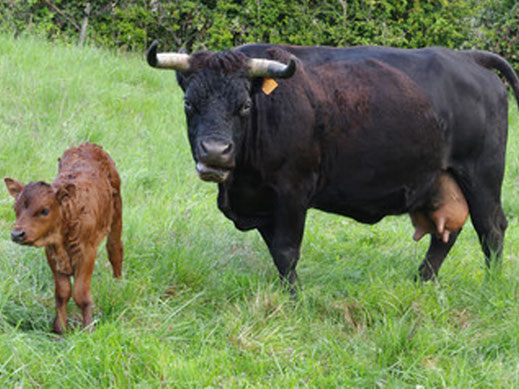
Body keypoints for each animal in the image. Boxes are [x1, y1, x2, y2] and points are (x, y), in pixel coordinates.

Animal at [4, 142, 123, 334]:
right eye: (16, 208)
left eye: (45, 210)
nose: (17, 234)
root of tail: (88, 144)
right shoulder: (52, 254)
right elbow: (62, 293)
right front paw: (59, 329)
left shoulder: (86, 253)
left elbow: (81, 294)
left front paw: (88, 328)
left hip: (117, 212)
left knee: (115, 249)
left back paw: (119, 283)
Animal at [146, 42, 519, 290]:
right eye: (189, 103)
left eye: (244, 106)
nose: (215, 152)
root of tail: (467, 57)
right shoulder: (263, 202)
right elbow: (275, 251)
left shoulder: (293, 192)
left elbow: (286, 250)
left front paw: (294, 298)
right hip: (441, 181)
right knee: (447, 233)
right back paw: (420, 281)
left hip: (482, 175)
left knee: (491, 228)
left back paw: (491, 284)